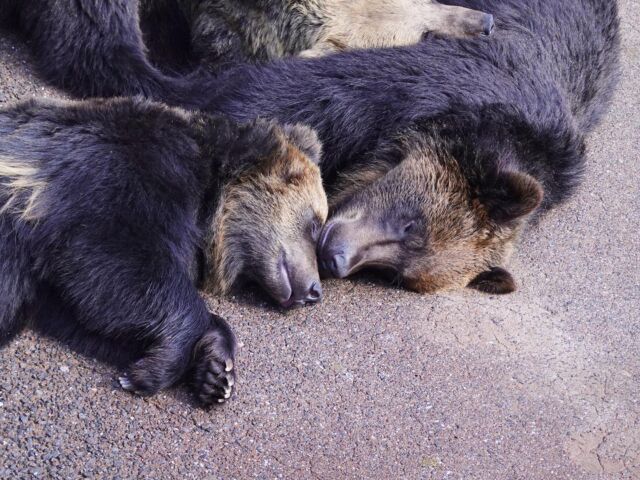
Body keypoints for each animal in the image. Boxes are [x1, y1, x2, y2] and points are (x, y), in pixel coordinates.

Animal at [0, 97, 328, 404]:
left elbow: (81, 314)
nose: (315, 290)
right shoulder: (123, 174)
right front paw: (148, 374)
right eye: (315, 225)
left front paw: (216, 374)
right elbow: (112, 260)